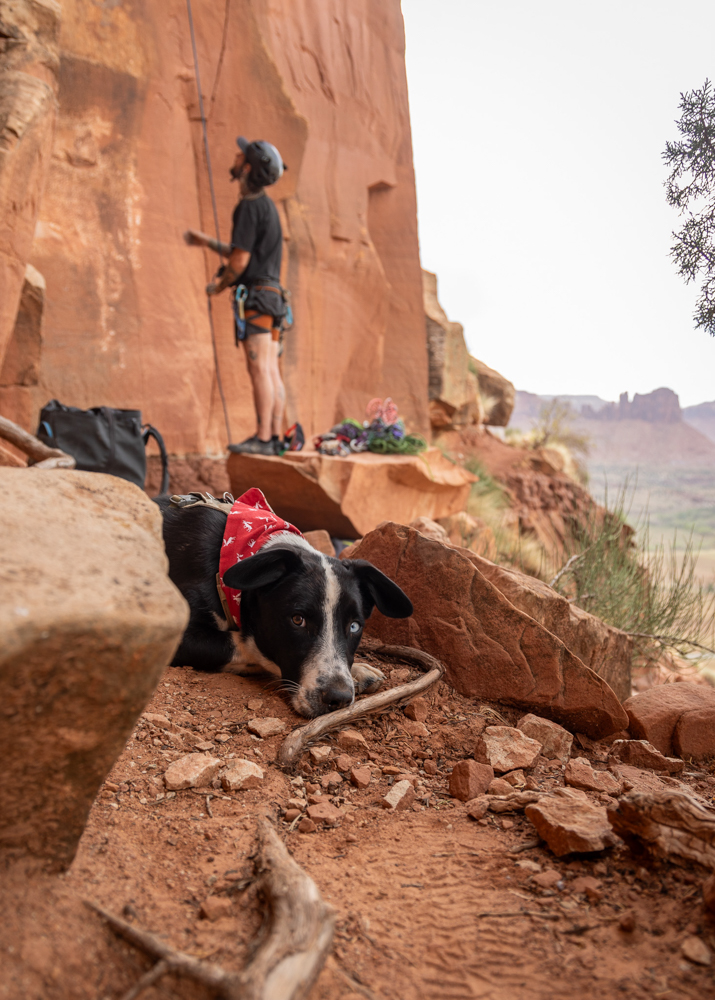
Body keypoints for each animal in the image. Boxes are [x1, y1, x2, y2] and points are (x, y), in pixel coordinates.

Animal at [157, 494, 414, 716]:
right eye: (297, 620)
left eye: (354, 626)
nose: (338, 698)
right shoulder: (178, 635)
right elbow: (248, 645)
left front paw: (358, 669)